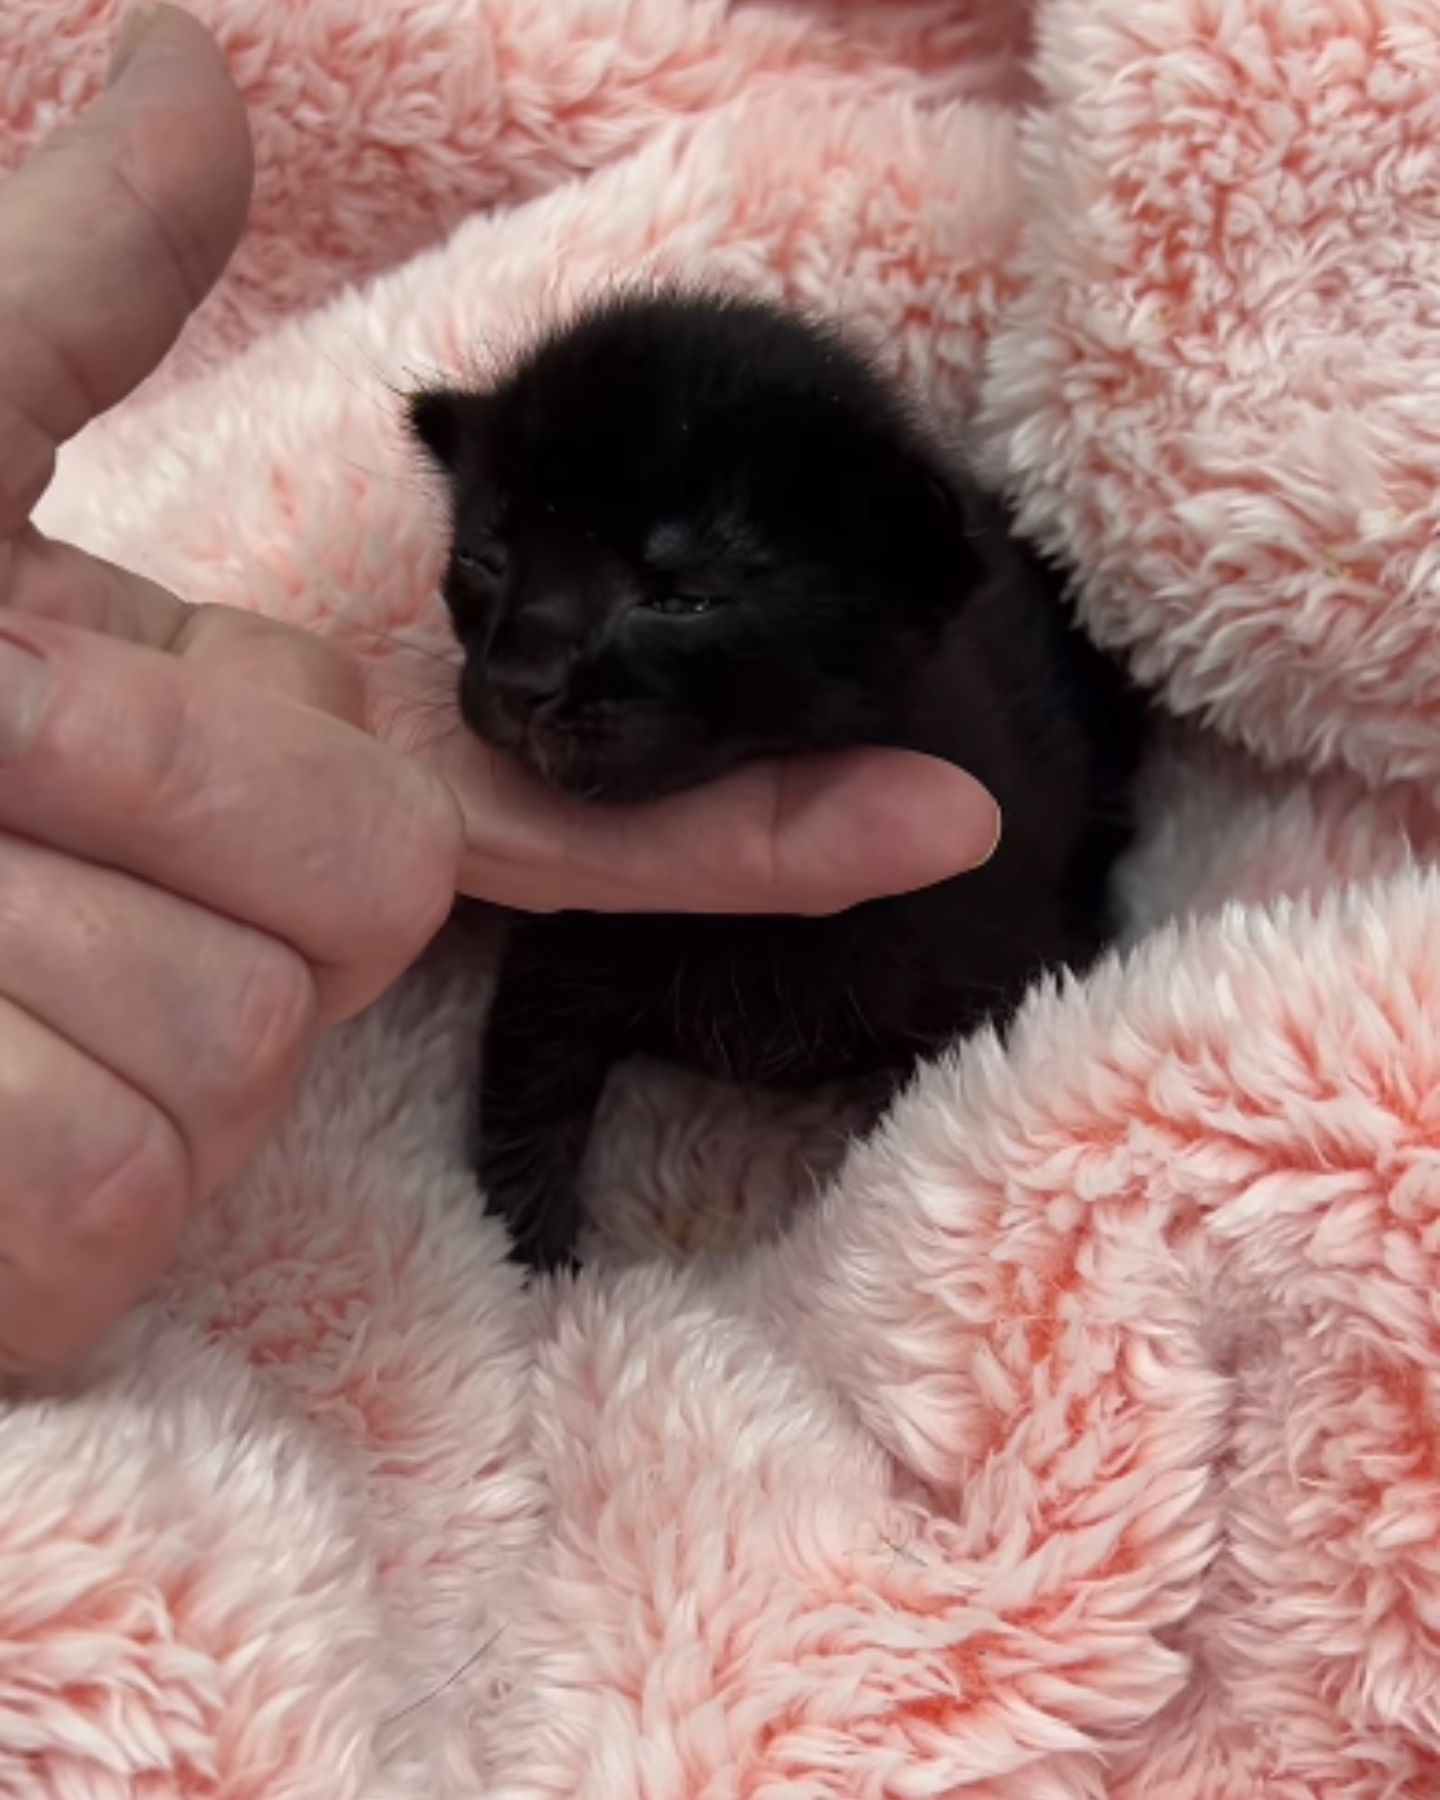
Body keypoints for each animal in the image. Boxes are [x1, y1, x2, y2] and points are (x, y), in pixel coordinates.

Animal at [408, 291, 1144, 1267]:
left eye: (681, 599)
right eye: (485, 558)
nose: (522, 676)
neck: (741, 924)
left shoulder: (1000, 967)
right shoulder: (558, 951)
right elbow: (525, 1105)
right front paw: (532, 1277)